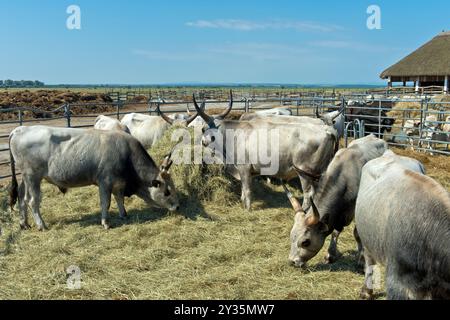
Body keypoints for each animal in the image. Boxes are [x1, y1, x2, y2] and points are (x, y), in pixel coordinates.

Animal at [8, 125, 179, 230]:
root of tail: (19, 129)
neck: (126, 153)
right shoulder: (105, 182)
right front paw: (106, 223)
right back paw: (41, 225)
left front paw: (123, 215)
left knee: (22, 198)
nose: (177, 207)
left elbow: (119, 199)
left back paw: (24, 223)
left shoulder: (119, 183)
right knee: (32, 201)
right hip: (33, 176)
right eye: (167, 192)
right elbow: (106, 202)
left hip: (25, 177)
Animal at [193, 91, 338, 211]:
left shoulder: (244, 168)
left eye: (203, 129)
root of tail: (327, 131)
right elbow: (243, 190)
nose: (202, 142)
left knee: (308, 194)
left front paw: (247, 208)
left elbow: (247, 190)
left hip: (304, 172)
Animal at [284, 135, 386, 268]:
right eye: (291, 235)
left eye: (305, 242)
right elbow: (336, 232)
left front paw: (362, 259)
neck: (345, 178)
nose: (292, 261)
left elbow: (356, 233)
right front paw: (330, 255)